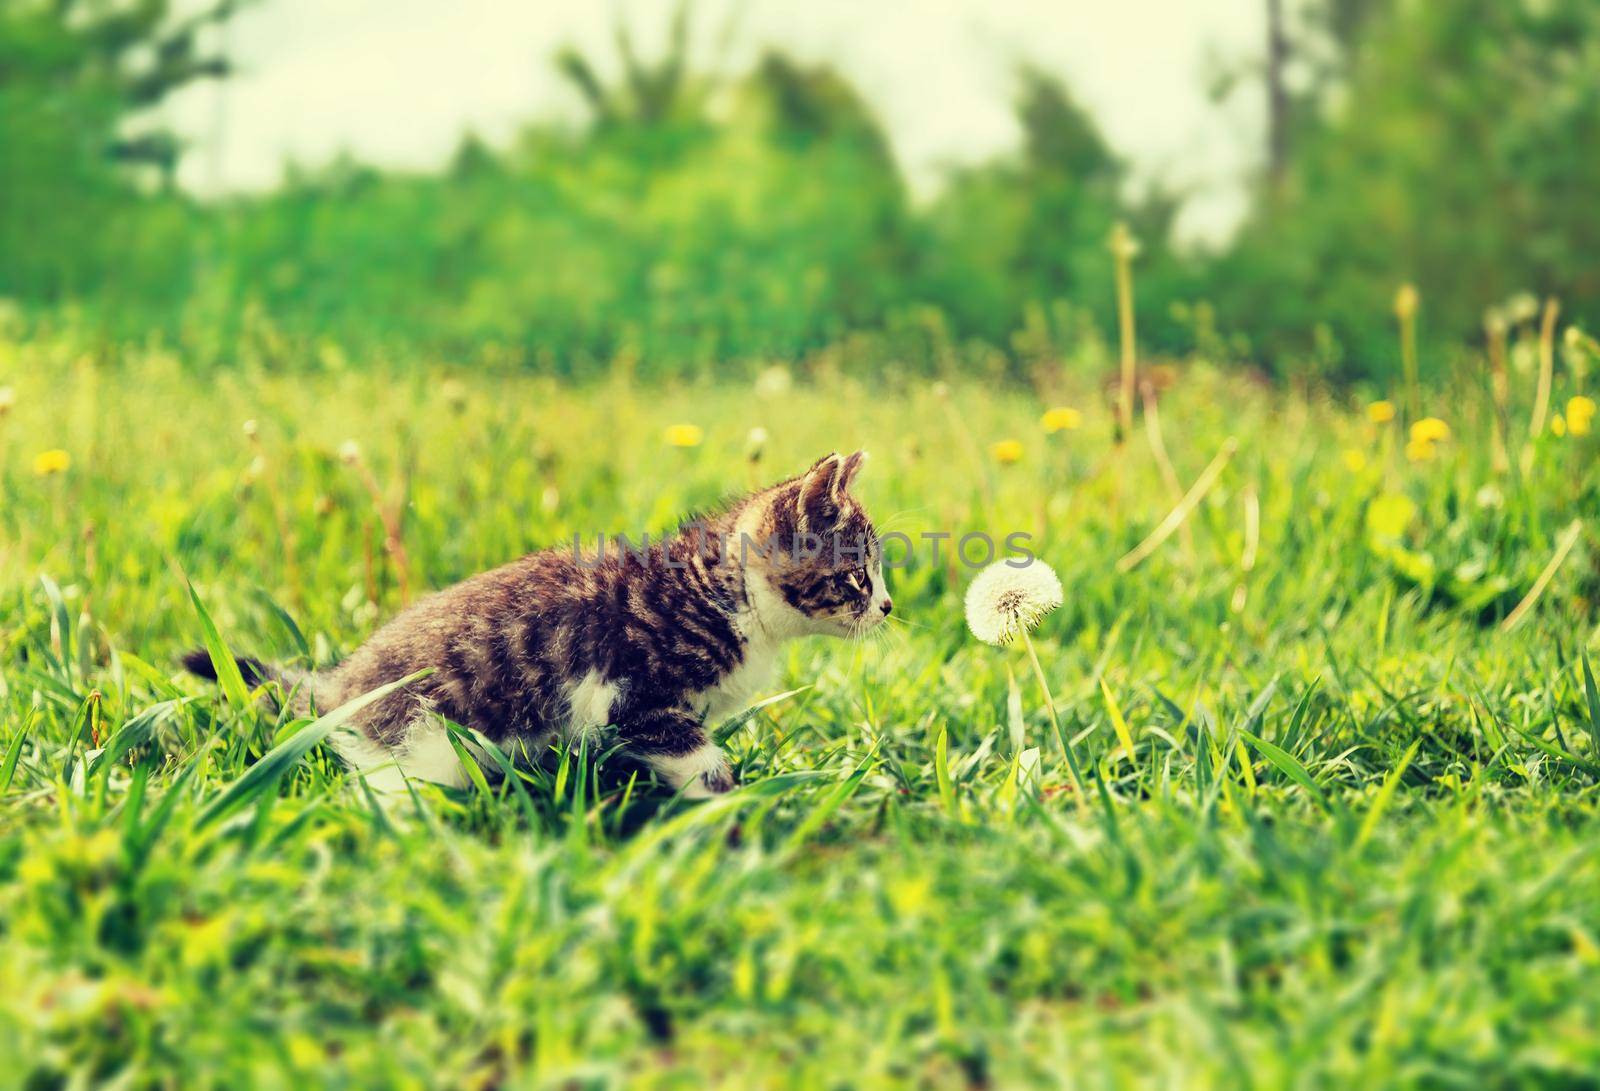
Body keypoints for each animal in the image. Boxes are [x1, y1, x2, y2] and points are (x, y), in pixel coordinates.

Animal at [187, 444, 896, 793]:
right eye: (859, 576)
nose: (888, 606)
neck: (726, 593)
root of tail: (342, 686)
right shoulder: (632, 696)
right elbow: (703, 764)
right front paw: (729, 816)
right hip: (424, 745)